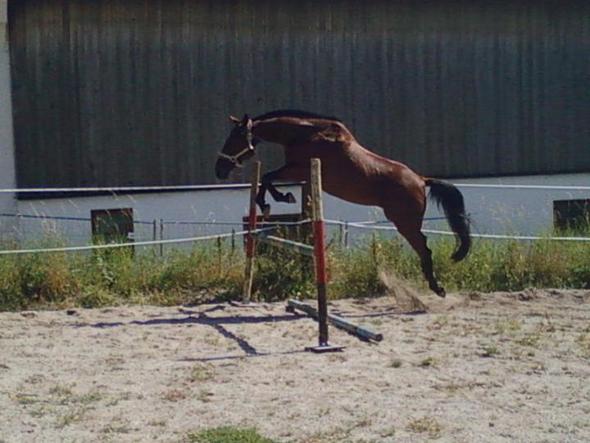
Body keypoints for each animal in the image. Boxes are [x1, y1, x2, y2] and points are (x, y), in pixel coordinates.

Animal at [217, 110, 472, 298]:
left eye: (233, 139)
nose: (219, 170)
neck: (305, 134)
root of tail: (421, 180)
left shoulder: (298, 169)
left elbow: (268, 178)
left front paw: (276, 200)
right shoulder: (300, 173)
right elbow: (267, 179)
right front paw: (276, 200)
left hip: (405, 223)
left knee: (424, 249)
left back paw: (437, 289)